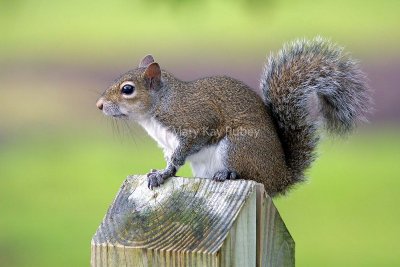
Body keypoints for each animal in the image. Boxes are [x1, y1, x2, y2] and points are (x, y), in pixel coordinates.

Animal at [97, 37, 372, 197]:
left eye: (127, 89)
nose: (99, 105)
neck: (159, 105)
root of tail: (280, 176)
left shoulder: (196, 122)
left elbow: (181, 152)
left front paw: (165, 173)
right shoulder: (166, 141)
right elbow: (170, 158)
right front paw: (161, 171)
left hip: (239, 145)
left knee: (252, 175)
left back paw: (229, 174)